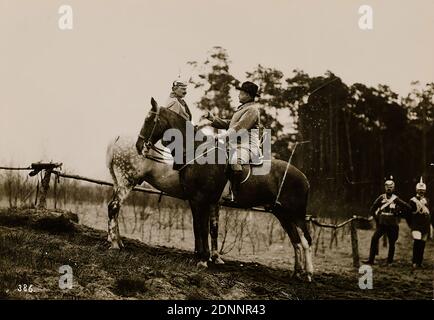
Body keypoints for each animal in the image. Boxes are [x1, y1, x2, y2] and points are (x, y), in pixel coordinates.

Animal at [134, 97, 314, 280]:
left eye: (149, 120)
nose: (139, 145)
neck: (197, 153)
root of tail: (303, 177)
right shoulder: (195, 201)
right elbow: (198, 228)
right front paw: (200, 257)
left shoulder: (202, 200)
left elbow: (203, 229)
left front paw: (204, 259)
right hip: (281, 213)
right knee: (295, 240)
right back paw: (297, 272)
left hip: (296, 213)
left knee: (306, 240)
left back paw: (308, 274)